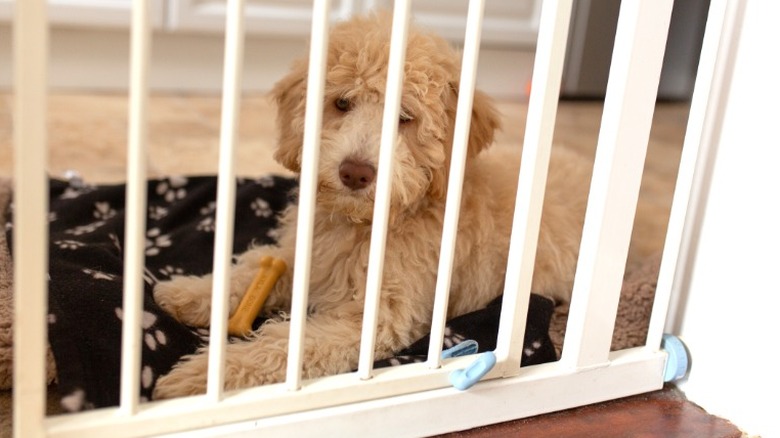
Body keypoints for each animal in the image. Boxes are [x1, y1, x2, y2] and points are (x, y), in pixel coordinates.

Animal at [152, 13, 588, 398]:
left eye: (405, 117)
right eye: (342, 103)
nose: (355, 172)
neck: (366, 223)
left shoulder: (375, 318)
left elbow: (282, 344)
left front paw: (200, 377)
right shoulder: (308, 255)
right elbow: (254, 268)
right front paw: (189, 292)